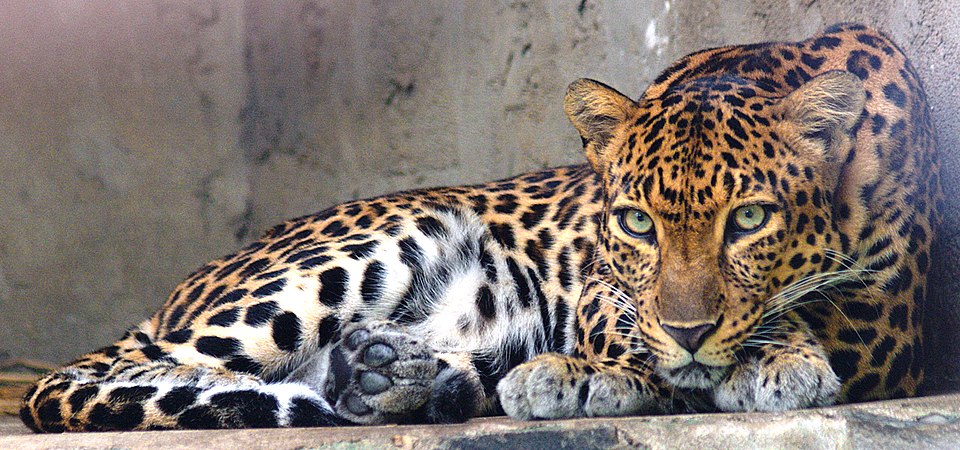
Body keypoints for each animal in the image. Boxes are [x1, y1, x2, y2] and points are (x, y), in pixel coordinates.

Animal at [21, 23, 939, 432]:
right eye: (636, 224)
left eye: (748, 219)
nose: (688, 333)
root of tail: (171, 295)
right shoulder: (597, 275)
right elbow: (627, 325)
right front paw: (594, 371)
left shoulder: (887, 322)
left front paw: (769, 358)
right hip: (367, 247)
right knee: (107, 378)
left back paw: (398, 376)